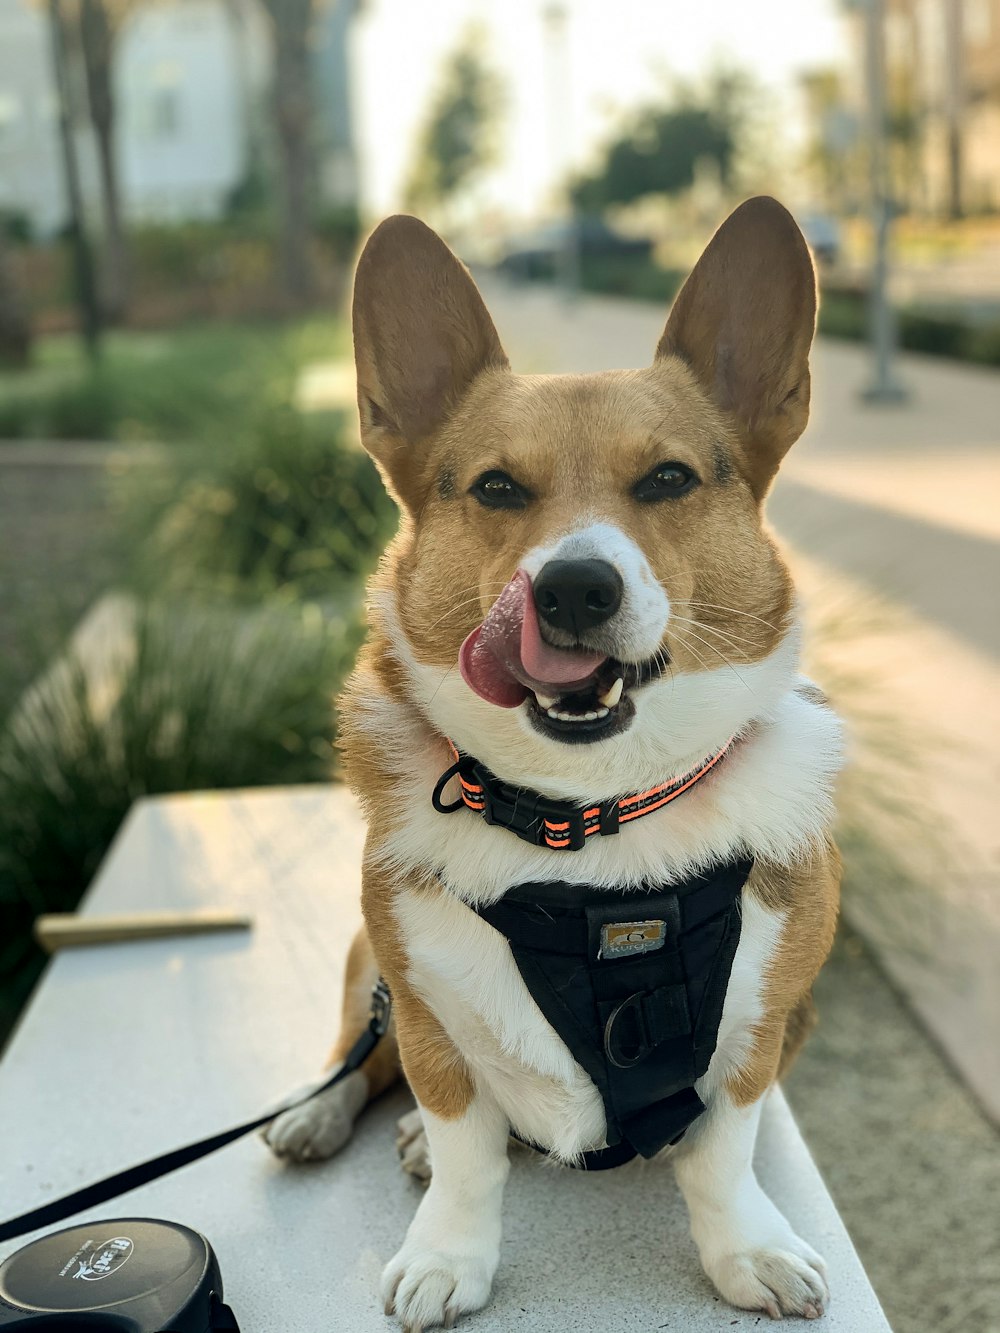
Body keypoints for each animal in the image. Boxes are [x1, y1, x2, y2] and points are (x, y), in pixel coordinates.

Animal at [266, 193, 848, 1327]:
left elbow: (721, 1153)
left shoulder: (761, 1026)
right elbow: (464, 1150)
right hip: (366, 966)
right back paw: (322, 1115)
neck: (587, 818)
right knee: (356, 1055)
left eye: (667, 479)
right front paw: (446, 1254)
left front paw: (747, 1249)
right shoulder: (425, 1011)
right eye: (496, 488)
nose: (573, 587)